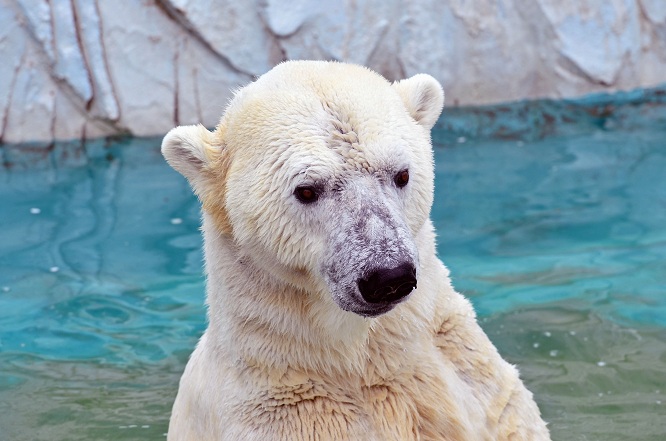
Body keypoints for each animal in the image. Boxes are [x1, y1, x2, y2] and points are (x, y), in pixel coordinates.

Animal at [161, 61, 548, 440]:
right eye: (306, 190)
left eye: (402, 174)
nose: (388, 276)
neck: (361, 360)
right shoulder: (284, 413)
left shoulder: (474, 385)